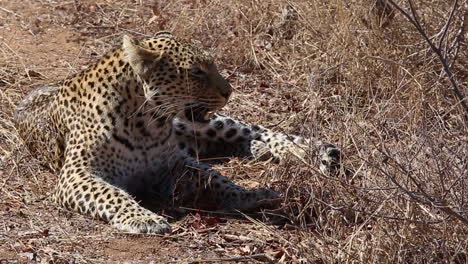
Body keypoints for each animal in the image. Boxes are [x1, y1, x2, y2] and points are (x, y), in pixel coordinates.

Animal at [14, 32, 340, 234]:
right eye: (196, 72)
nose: (229, 91)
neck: (147, 124)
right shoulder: (77, 174)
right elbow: (111, 193)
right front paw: (144, 218)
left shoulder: (175, 164)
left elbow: (215, 177)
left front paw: (250, 194)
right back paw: (266, 152)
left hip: (206, 124)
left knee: (254, 131)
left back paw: (305, 152)